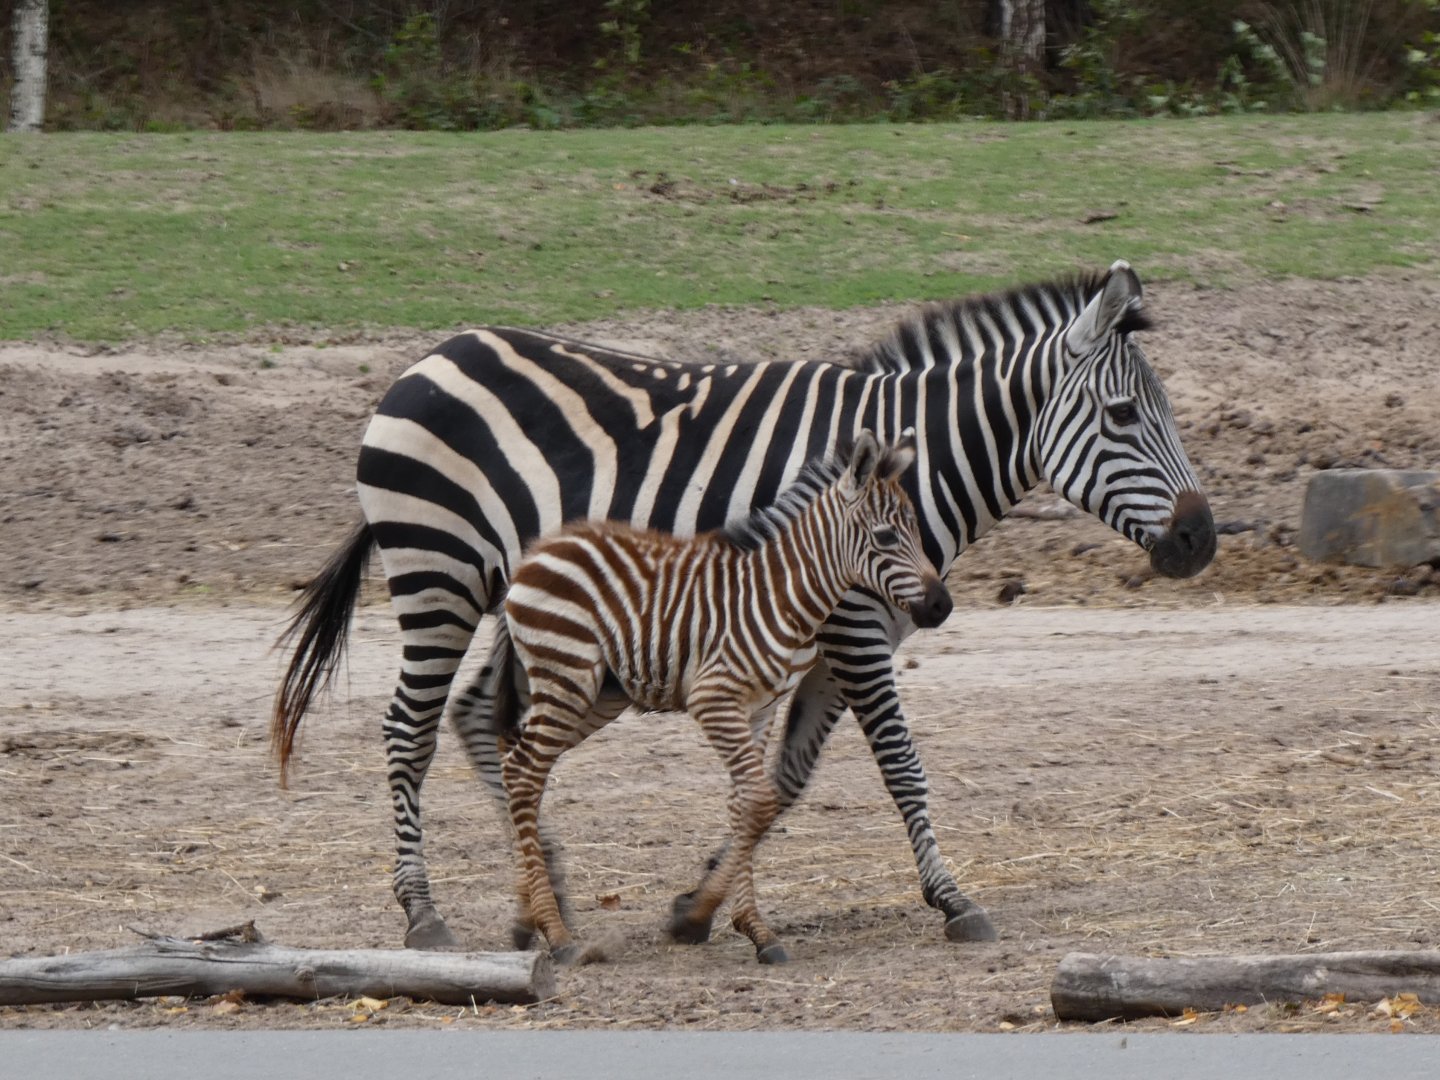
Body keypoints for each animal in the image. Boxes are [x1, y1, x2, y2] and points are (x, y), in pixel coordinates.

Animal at [497, 431, 947, 965]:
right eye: (884, 537)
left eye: (915, 531)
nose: (942, 605)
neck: (782, 595)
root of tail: (538, 551)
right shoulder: (714, 699)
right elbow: (758, 802)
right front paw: (727, 920)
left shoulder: (760, 709)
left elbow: (746, 805)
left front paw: (746, 926)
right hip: (566, 676)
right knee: (525, 774)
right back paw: (556, 932)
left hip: (589, 695)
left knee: (518, 767)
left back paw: (528, 918)